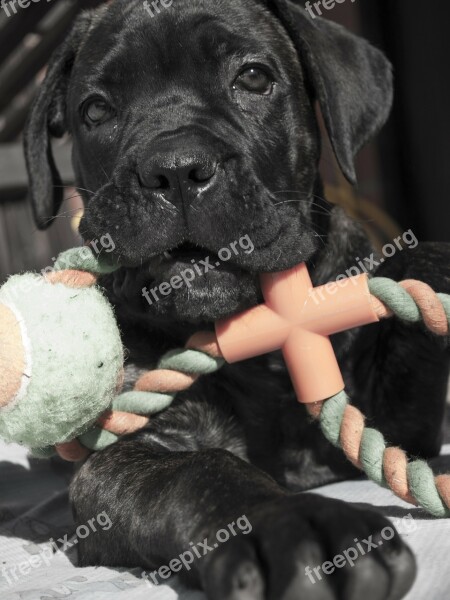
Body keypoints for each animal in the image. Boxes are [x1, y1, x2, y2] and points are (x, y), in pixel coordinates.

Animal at [23, 1, 450, 600]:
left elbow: (423, 274)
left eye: (252, 78)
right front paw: (294, 526)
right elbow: (202, 471)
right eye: (97, 110)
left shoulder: (401, 422)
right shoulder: (130, 452)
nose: (174, 167)